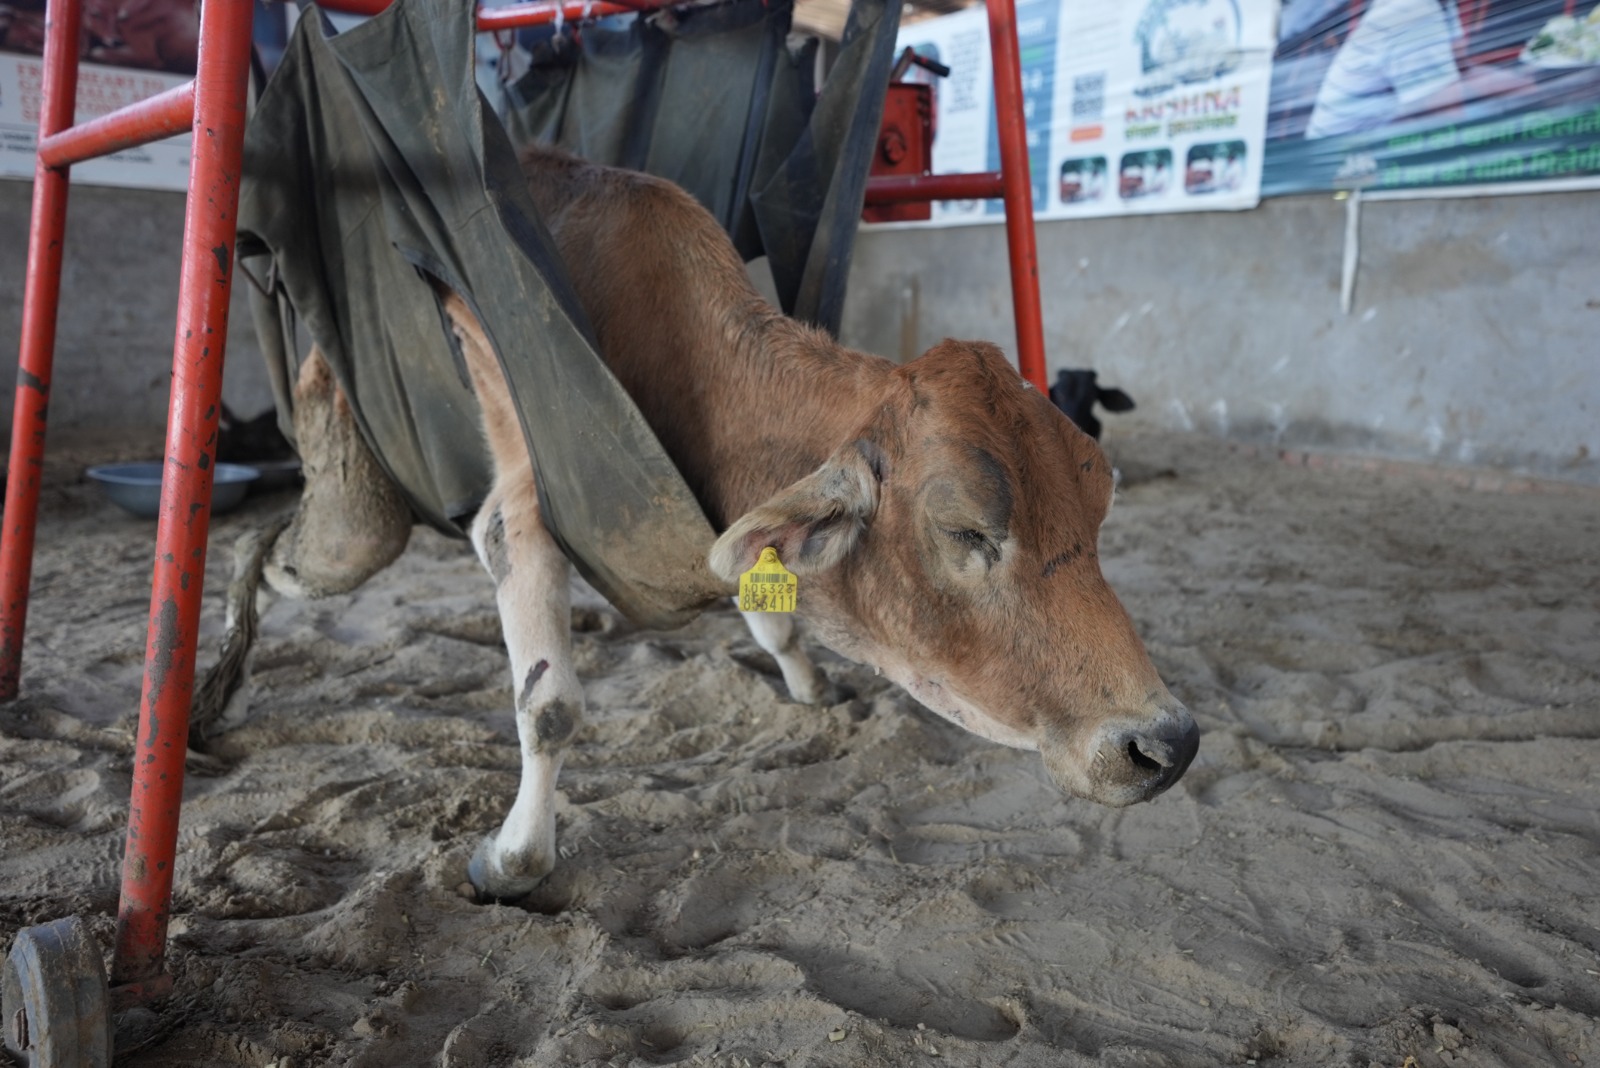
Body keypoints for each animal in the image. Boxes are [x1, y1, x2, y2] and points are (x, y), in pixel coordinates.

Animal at [224, 145, 1199, 901]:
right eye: (966, 533)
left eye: (1099, 509)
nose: (1168, 741)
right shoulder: (520, 503)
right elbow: (549, 705)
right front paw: (513, 859)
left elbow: (770, 611)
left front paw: (809, 687)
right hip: (355, 523)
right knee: (270, 551)